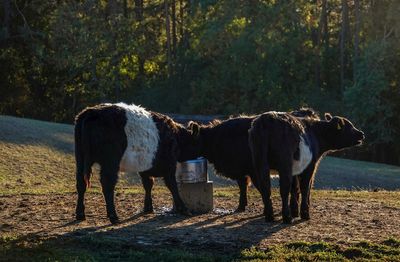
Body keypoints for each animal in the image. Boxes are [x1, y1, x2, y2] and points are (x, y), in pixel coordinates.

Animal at [188, 108, 318, 213]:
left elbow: (257, 187)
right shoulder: (242, 171)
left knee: (307, 185)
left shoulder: (249, 171)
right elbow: (244, 187)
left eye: (186, 140)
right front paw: (241, 206)